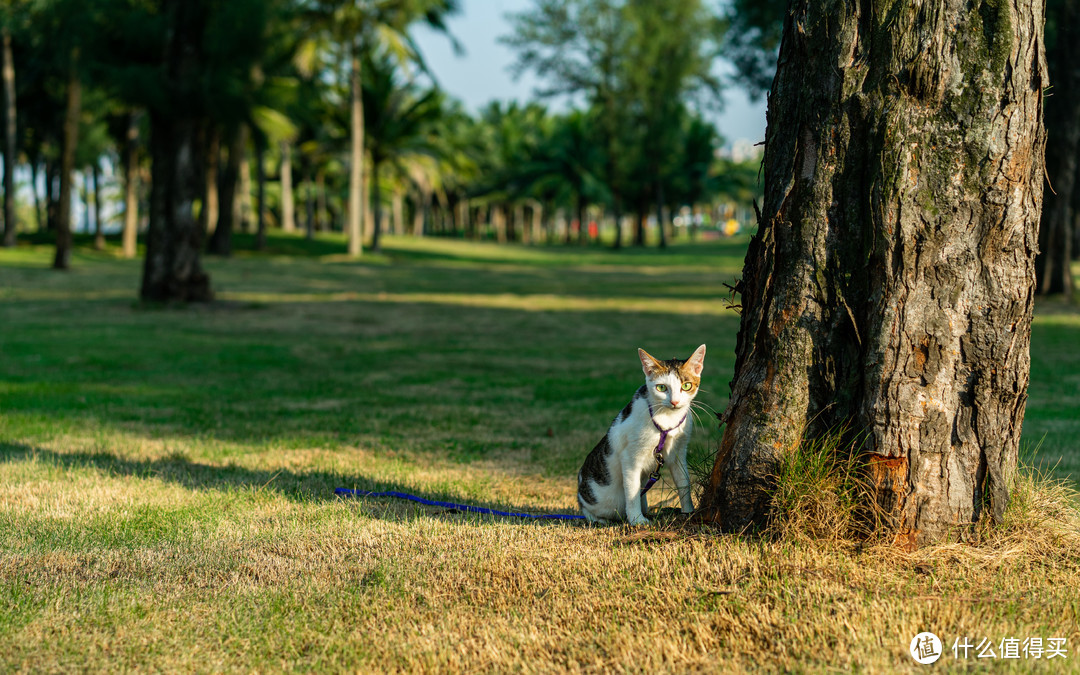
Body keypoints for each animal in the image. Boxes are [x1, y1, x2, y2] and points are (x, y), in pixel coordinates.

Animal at [578, 341, 704, 527]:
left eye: (686, 385)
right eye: (661, 387)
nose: (674, 401)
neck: (667, 419)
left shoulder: (679, 451)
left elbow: (684, 482)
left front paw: (688, 511)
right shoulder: (630, 457)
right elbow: (632, 491)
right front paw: (637, 520)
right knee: (587, 509)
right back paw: (600, 519)